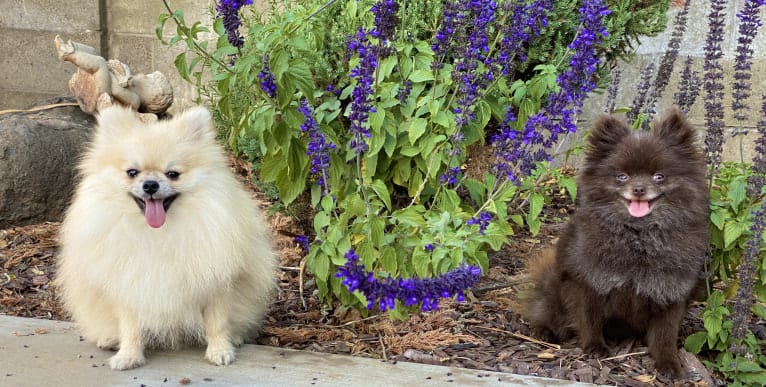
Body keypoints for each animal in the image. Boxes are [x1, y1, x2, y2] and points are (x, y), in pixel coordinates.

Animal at [57, 104, 280, 372]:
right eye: (132, 172)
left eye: (173, 174)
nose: (150, 184)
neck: (159, 233)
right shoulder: (128, 282)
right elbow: (130, 327)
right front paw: (129, 355)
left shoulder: (218, 283)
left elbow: (217, 323)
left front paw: (220, 350)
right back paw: (110, 340)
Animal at [524, 107, 712, 378]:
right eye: (622, 176)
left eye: (659, 176)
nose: (639, 189)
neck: (639, 238)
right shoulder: (587, 282)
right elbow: (589, 319)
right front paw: (594, 347)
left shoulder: (670, 292)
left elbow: (665, 334)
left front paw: (668, 363)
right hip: (553, 288)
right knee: (546, 311)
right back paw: (544, 331)